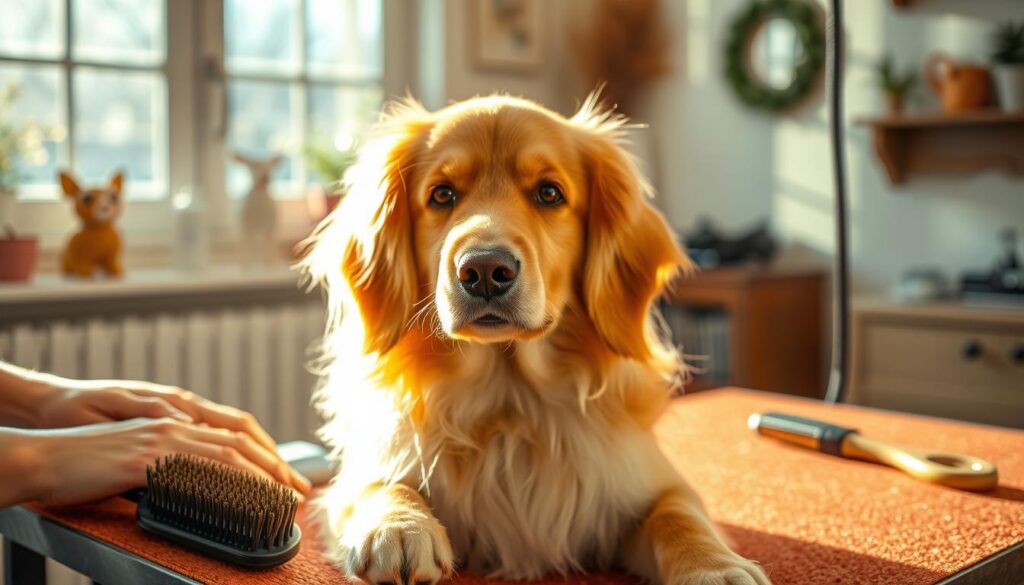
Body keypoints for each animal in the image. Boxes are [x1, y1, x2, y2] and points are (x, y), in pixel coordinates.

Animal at [301, 92, 770, 585]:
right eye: (442, 194)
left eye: (549, 193)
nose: (484, 270)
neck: (511, 401)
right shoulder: (359, 475)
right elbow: (380, 484)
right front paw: (399, 526)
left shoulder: (650, 481)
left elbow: (678, 513)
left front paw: (714, 567)